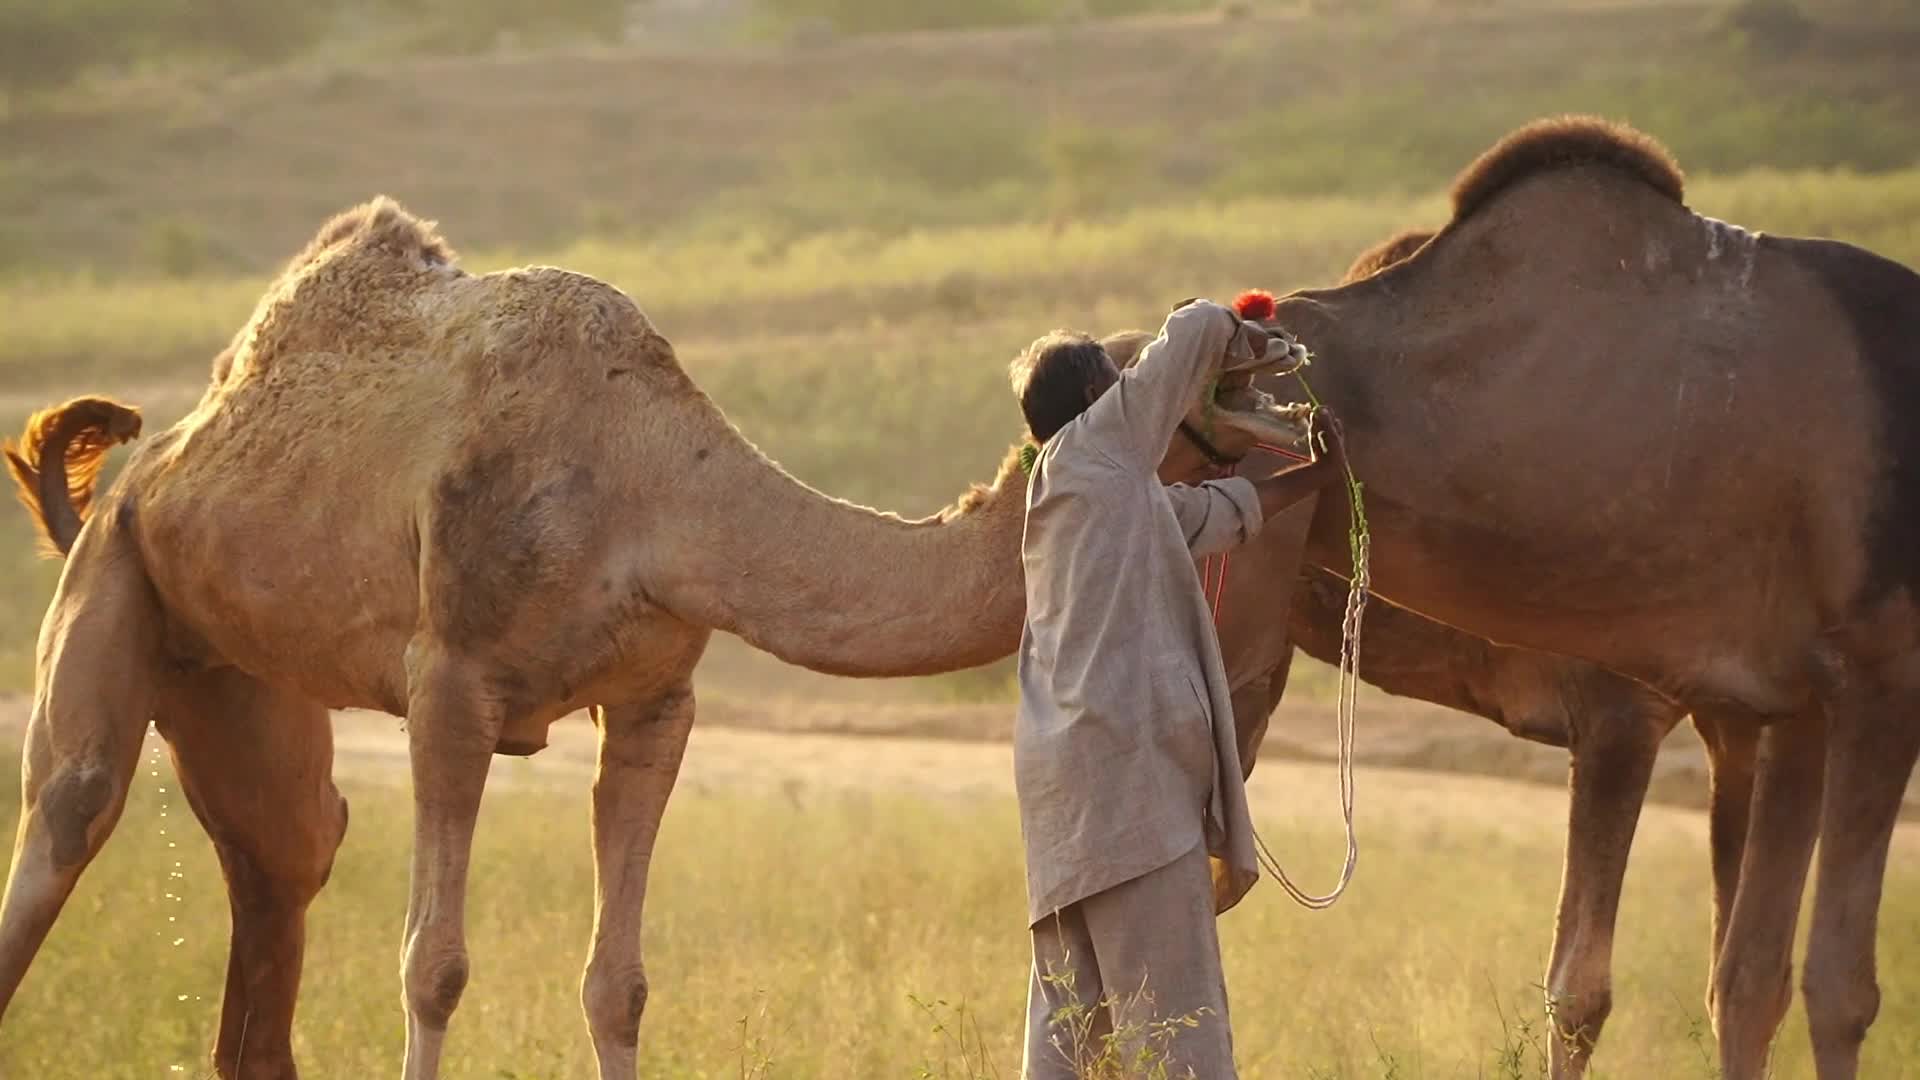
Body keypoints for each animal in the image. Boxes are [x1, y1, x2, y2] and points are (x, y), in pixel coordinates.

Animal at [0, 198, 1315, 1080]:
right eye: (1187, 359)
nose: (1279, 351)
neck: (652, 485)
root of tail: (143, 466)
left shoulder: (655, 699)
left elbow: (618, 982)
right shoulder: (452, 685)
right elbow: (434, 962)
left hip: (233, 672)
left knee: (285, 857)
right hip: (115, 578)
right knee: (68, 811)